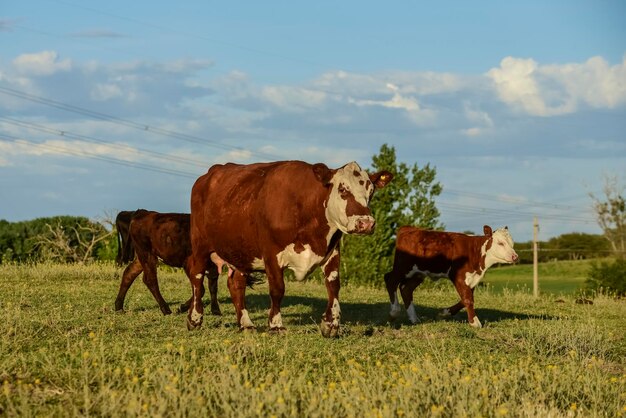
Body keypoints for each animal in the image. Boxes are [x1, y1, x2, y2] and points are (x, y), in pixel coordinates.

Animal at [185, 160, 390, 336]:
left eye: (371, 191)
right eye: (342, 188)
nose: (366, 223)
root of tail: (210, 174)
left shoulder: (332, 251)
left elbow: (333, 285)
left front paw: (331, 324)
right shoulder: (271, 254)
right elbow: (277, 289)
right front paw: (276, 326)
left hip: (241, 251)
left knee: (236, 284)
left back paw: (246, 324)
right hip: (201, 245)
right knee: (197, 278)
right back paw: (194, 318)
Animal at [382, 225, 516, 326]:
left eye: (512, 244)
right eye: (500, 243)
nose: (515, 256)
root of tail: (409, 228)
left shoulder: (472, 279)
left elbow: (465, 298)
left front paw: (444, 313)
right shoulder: (458, 276)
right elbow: (468, 299)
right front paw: (474, 322)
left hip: (418, 273)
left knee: (406, 288)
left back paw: (414, 319)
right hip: (403, 267)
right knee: (390, 280)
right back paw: (394, 312)